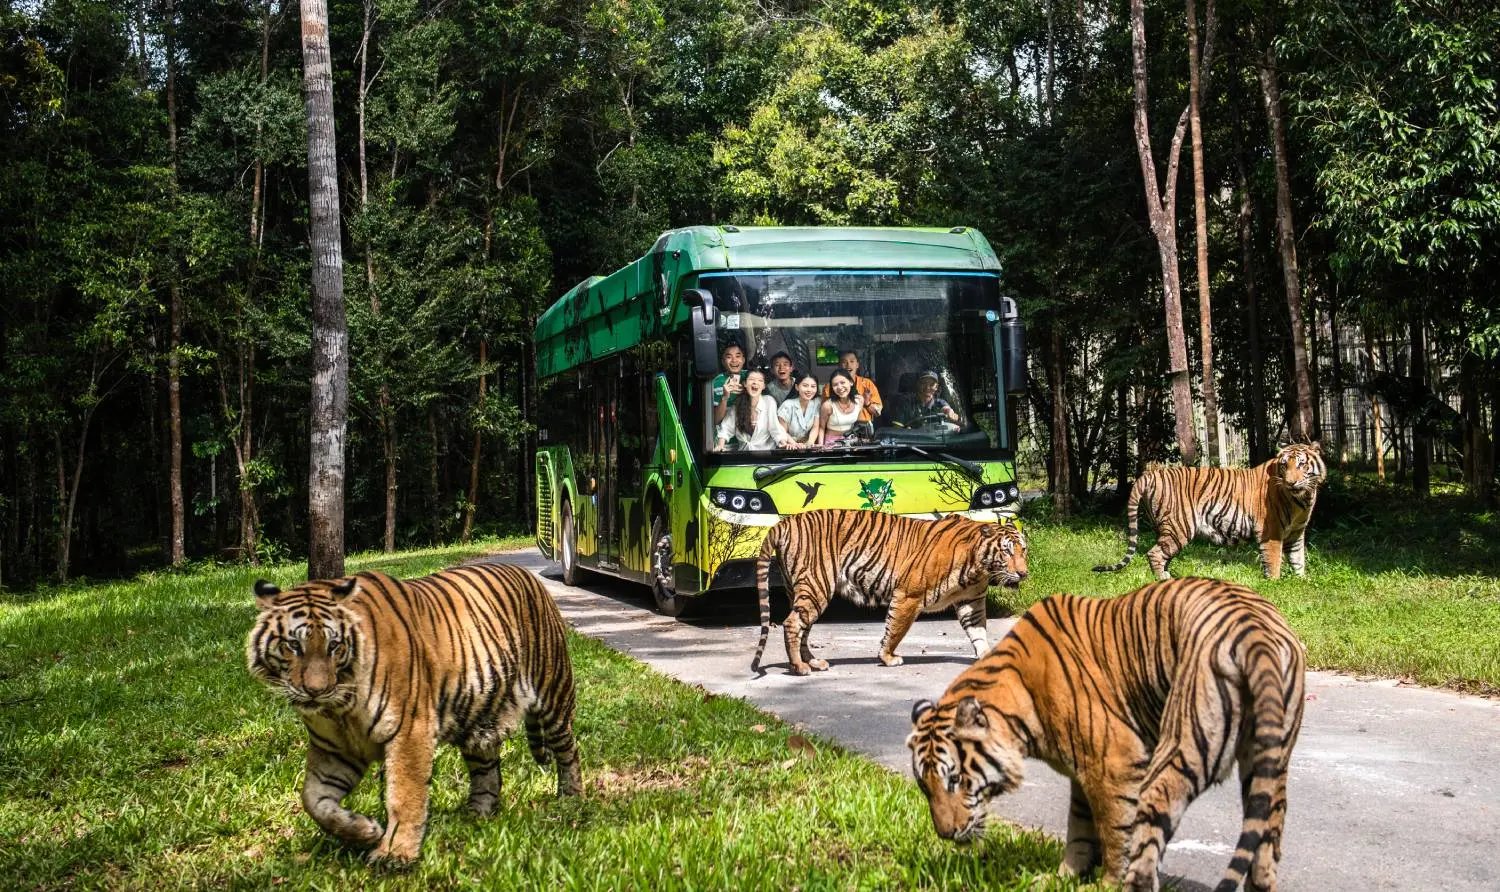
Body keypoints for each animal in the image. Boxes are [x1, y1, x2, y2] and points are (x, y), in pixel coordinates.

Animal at [245, 563, 581, 865]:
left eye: (334, 645)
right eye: (293, 645)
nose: (316, 690)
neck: (340, 707)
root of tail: (527, 574)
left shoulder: (408, 731)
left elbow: (404, 796)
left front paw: (395, 854)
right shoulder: (335, 750)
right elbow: (313, 800)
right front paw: (363, 830)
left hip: (554, 694)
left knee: (568, 751)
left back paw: (570, 800)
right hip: (479, 719)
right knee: (487, 772)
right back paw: (475, 815)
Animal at [750, 509, 1028, 676]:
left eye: (1023, 550)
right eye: (1007, 552)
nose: (1024, 573)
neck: (978, 567)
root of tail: (784, 522)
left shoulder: (971, 601)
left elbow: (978, 632)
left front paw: (987, 656)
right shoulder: (908, 596)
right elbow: (895, 630)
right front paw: (887, 657)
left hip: (802, 591)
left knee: (803, 627)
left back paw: (813, 662)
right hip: (816, 586)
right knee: (792, 624)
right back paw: (799, 667)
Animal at [908, 577, 1306, 892]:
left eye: (955, 779)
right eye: (924, 787)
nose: (945, 834)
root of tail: (1255, 632)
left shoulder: (1114, 765)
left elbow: (1116, 831)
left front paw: (1104, 883)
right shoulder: (1085, 770)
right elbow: (1079, 828)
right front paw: (1064, 877)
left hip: (1180, 750)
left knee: (1148, 844)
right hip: (1267, 765)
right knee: (1267, 842)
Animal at [1094, 442, 1326, 580]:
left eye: (1301, 465)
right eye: (1285, 465)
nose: (1291, 482)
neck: (1304, 497)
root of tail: (1150, 474)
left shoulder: (1296, 532)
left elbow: (1298, 558)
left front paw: (1301, 581)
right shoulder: (1272, 531)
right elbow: (1274, 560)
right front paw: (1274, 584)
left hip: (1165, 528)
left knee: (1162, 553)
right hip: (1180, 527)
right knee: (1154, 553)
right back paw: (1164, 580)